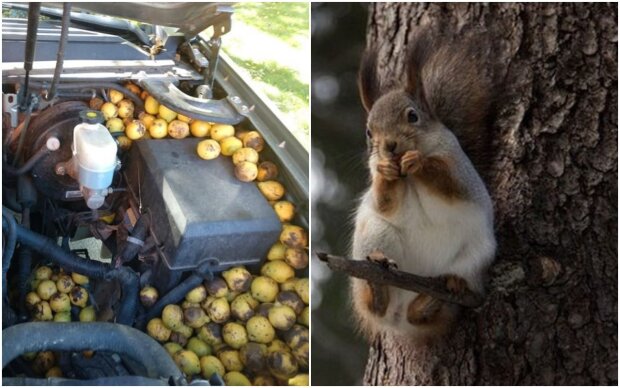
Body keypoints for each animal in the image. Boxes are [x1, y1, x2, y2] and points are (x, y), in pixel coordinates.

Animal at [348, 30, 498, 342]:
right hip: (376, 233)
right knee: (376, 304)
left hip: (476, 255)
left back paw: (437, 296)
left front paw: (418, 161)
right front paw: (386, 172)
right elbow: (385, 203)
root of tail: (397, 320)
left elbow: (448, 184)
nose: (389, 146)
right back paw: (378, 282)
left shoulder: (458, 168)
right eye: (369, 131)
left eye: (413, 116)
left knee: (425, 312)